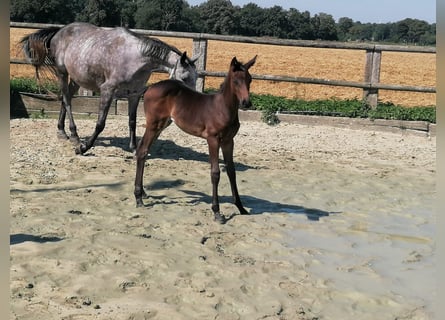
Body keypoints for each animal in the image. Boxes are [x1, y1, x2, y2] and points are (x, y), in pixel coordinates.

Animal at [133, 56, 256, 224]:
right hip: (153, 125)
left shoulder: (228, 141)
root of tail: (150, 87)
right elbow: (215, 173)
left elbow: (231, 171)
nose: (246, 103)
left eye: (250, 79)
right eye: (236, 81)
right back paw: (138, 198)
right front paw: (217, 212)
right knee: (142, 151)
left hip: (161, 126)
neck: (223, 108)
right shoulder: (213, 139)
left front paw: (241, 208)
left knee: (143, 151)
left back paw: (142, 193)